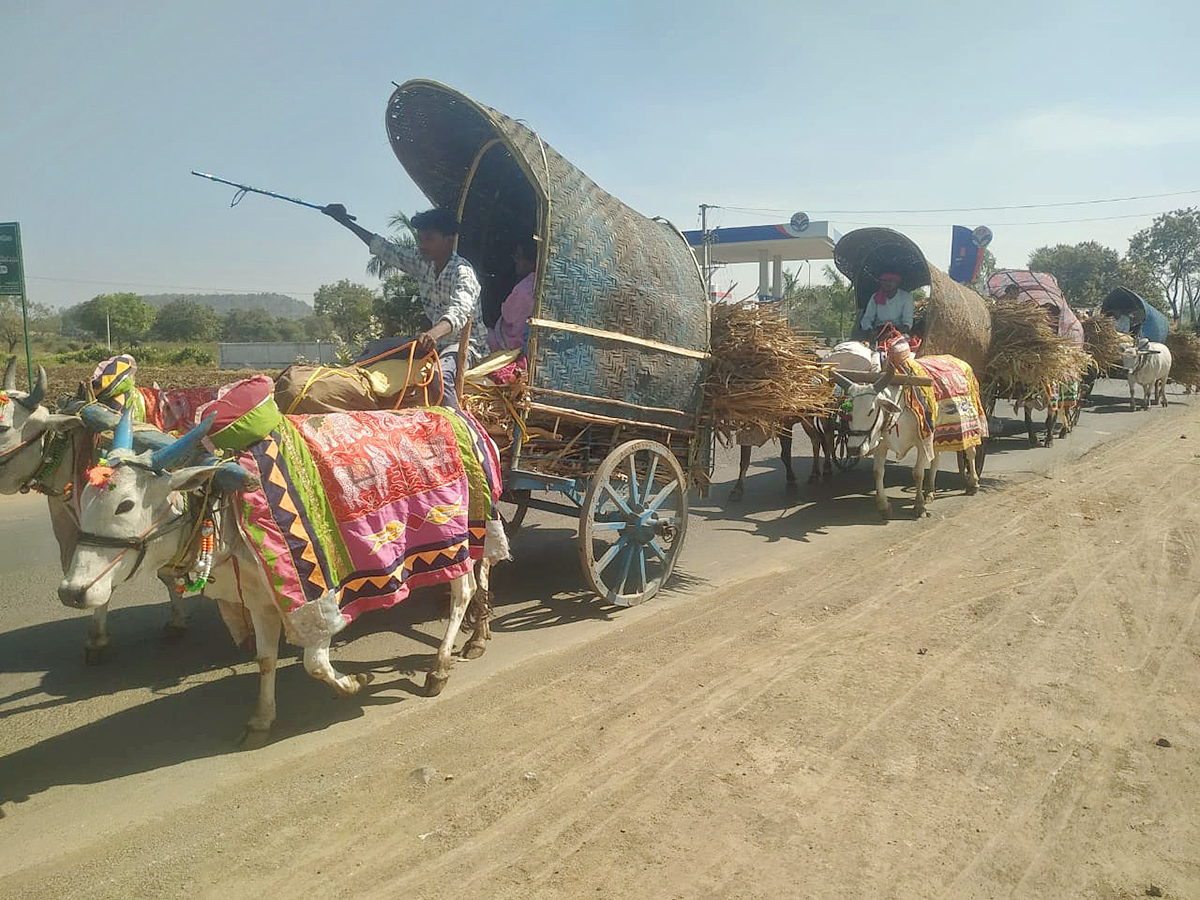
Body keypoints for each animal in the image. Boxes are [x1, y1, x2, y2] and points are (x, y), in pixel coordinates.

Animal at [57, 412, 506, 744]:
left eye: (125, 505)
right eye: (84, 498)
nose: (72, 592)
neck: (229, 507)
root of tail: (464, 417)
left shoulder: (316, 602)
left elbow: (315, 664)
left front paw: (354, 682)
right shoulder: (260, 601)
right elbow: (265, 659)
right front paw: (261, 719)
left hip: (459, 538)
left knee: (463, 591)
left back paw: (440, 668)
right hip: (474, 538)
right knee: (481, 578)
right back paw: (477, 636)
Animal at [840, 364, 979, 520]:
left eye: (871, 410)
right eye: (848, 412)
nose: (853, 449)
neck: (898, 414)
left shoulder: (923, 441)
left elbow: (918, 473)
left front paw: (919, 506)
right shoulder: (881, 445)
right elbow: (878, 472)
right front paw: (884, 506)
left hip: (968, 427)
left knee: (971, 452)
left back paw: (973, 483)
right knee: (936, 460)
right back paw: (930, 491)